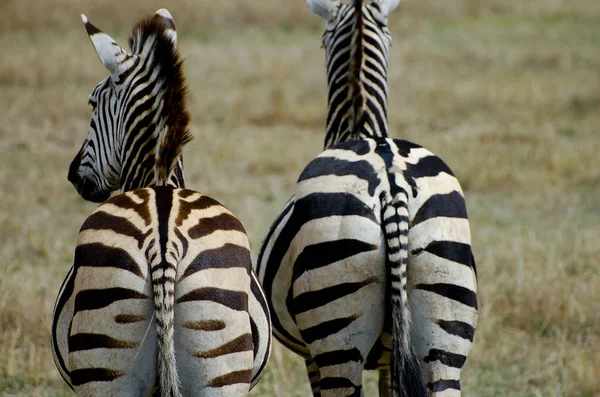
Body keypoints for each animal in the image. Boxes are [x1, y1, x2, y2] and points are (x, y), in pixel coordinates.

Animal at [258, 0, 478, 396]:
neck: (361, 128)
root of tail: (391, 183)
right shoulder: (394, 358)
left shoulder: (312, 357)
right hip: (445, 332)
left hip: (335, 339)